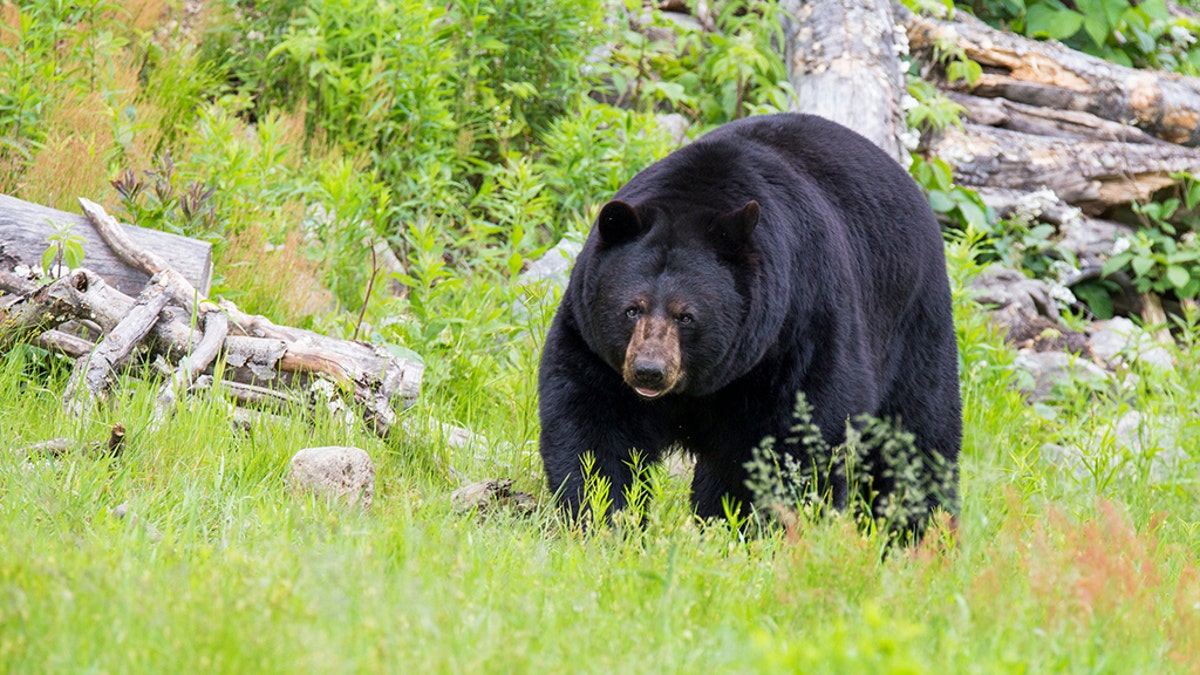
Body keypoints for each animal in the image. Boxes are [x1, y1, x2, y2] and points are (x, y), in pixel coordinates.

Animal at [540, 114, 960, 535]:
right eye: (631, 309)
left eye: (686, 315)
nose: (649, 371)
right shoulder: (592, 341)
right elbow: (594, 425)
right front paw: (603, 517)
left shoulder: (798, 328)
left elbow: (802, 433)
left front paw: (771, 525)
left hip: (913, 322)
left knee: (918, 436)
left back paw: (921, 529)